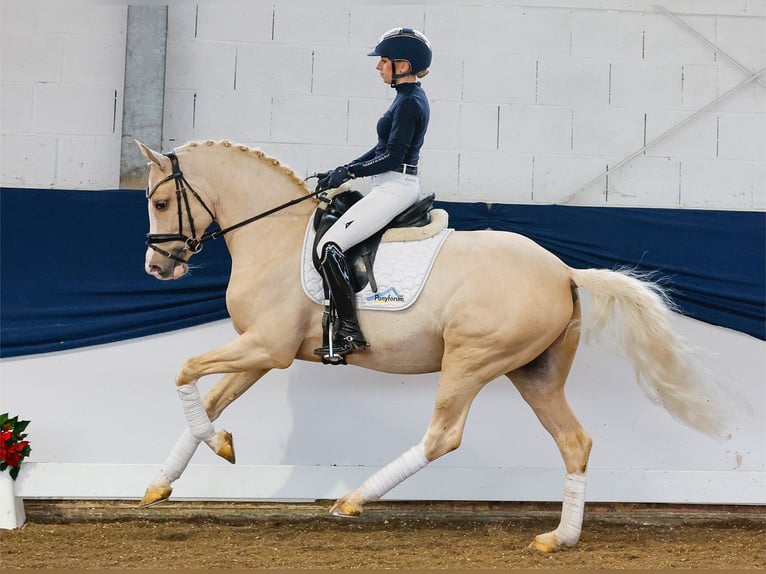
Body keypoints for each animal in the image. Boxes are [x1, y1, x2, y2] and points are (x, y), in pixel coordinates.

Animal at [135, 138, 736, 552]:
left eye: (161, 202)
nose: (156, 268)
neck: (275, 236)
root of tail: (563, 270)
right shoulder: (261, 351)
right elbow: (210, 399)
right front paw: (166, 480)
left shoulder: (268, 348)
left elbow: (184, 371)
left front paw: (217, 446)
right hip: (535, 373)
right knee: (575, 442)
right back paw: (558, 539)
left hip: (471, 360)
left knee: (443, 435)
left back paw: (353, 500)